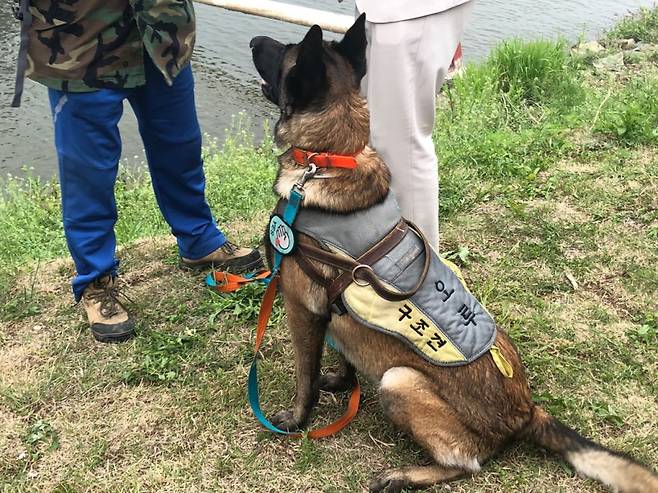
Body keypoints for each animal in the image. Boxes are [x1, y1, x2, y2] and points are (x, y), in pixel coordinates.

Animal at [247, 15, 656, 492]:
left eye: (284, 51)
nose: (254, 39)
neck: (331, 159)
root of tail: (526, 412)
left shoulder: (301, 310)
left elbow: (304, 378)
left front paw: (296, 419)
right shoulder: (331, 315)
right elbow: (342, 356)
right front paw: (343, 383)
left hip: (399, 381)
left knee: (466, 463)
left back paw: (404, 474)